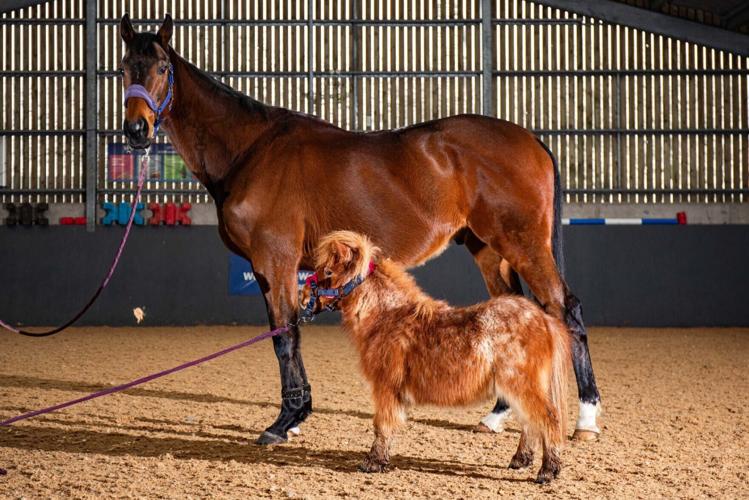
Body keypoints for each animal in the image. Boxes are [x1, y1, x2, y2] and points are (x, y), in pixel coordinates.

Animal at [118, 13, 601, 445]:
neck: (251, 149)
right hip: (488, 250)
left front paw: (285, 421)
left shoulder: (274, 261)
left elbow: (285, 336)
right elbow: (287, 333)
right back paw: (498, 415)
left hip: (524, 245)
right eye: (124, 67)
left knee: (566, 309)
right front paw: (295, 416)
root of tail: (531, 140)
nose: (136, 129)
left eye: (161, 68)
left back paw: (586, 419)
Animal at [303, 230, 570, 483]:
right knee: (530, 423)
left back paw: (548, 471)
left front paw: (373, 462)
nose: (304, 295)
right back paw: (521, 460)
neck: (389, 316)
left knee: (548, 419)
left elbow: (382, 424)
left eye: (328, 271)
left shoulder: (386, 388)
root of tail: (543, 319)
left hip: (522, 385)